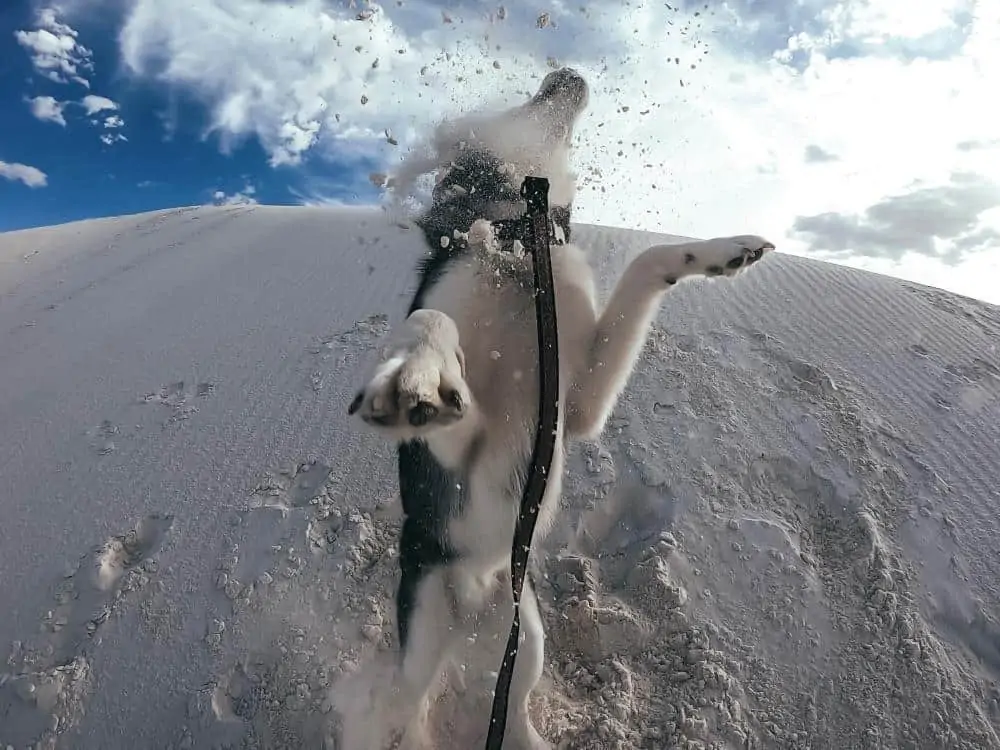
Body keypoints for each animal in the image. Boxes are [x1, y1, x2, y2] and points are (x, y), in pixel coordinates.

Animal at [336, 67, 772, 748]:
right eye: (522, 99)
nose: (566, 72)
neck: (515, 244)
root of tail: (474, 600)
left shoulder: (580, 403)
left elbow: (646, 261)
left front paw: (726, 249)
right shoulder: (462, 439)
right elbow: (432, 323)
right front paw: (416, 378)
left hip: (525, 637)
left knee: (511, 713)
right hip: (425, 624)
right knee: (407, 706)